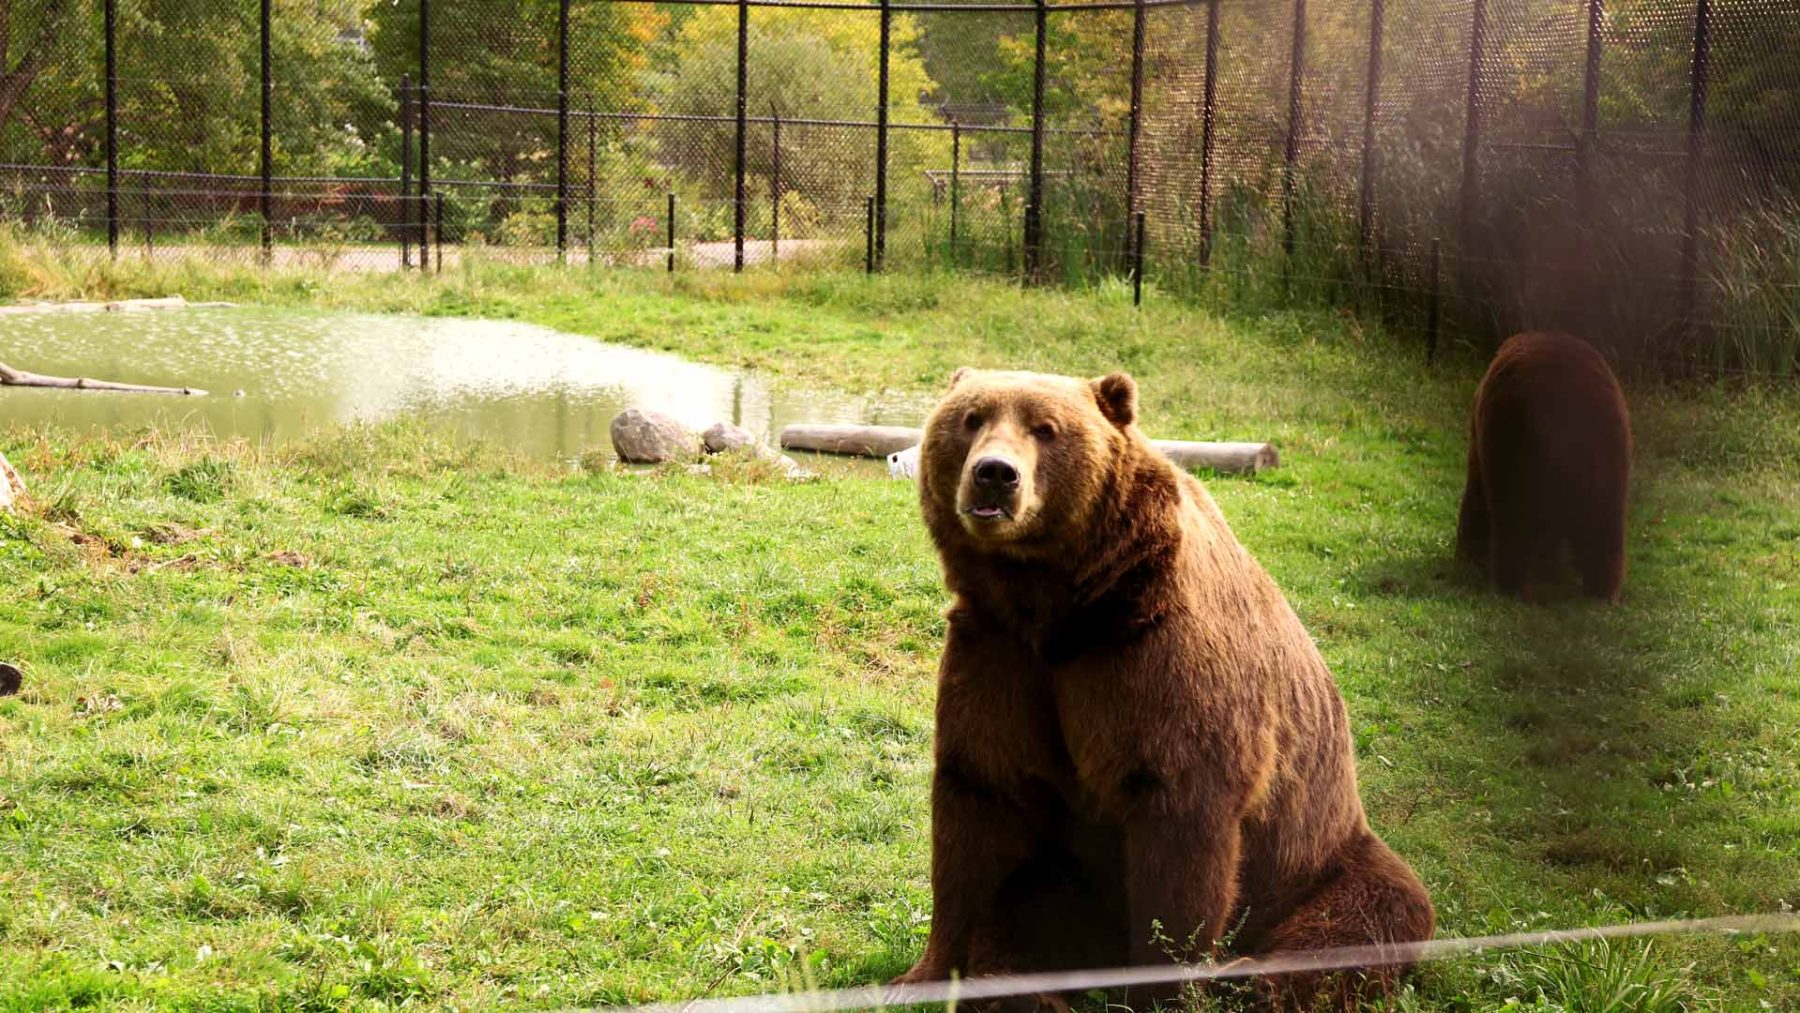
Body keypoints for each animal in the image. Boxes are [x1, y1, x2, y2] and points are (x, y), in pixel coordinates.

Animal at [896, 368, 1432, 1007]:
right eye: (972, 418)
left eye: (1046, 429)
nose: (995, 474)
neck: (1061, 606)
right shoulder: (999, 655)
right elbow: (978, 801)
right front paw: (922, 976)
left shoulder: (1156, 659)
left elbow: (1182, 822)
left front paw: (1163, 985)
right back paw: (1023, 990)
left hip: (1320, 860)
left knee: (1368, 919)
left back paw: (1245, 975)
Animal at [1447, 331, 1634, 600]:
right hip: (1607, 452)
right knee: (1604, 525)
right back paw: (1603, 591)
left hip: (1512, 437)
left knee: (1510, 512)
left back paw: (1509, 584)